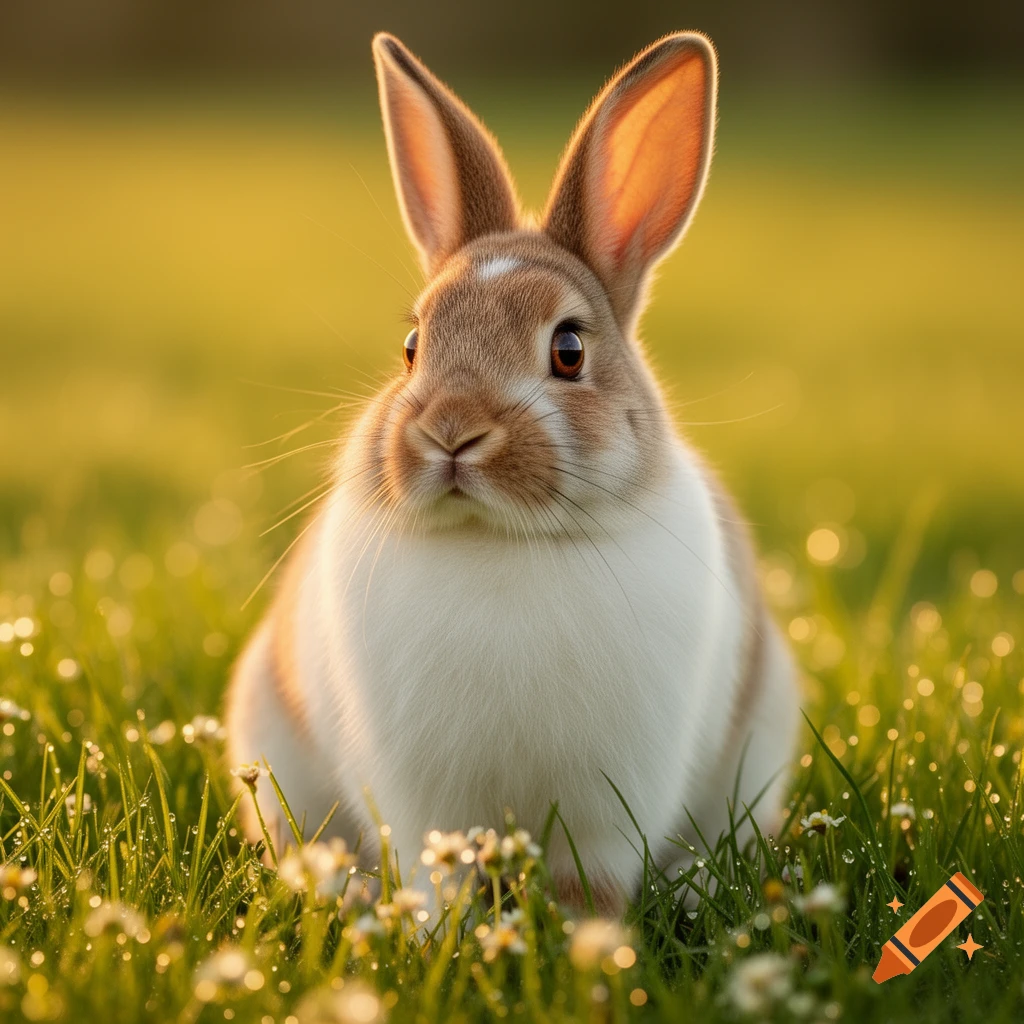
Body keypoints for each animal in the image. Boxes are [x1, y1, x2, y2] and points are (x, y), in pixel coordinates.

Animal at [224, 29, 800, 915]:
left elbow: (593, 884)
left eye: (569, 349)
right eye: (413, 346)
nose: (451, 432)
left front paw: (592, 939)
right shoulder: (425, 805)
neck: (499, 540)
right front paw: (442, 931)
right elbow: (443, 874)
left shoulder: (607, 813)